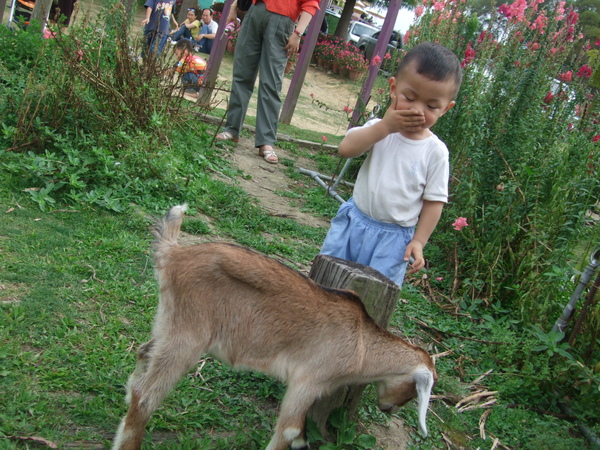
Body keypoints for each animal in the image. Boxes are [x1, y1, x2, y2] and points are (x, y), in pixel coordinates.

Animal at [112, 205, 438, 450]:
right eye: (414, 389)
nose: (388, 409)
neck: (362, 342)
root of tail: (173, 254)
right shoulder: (308, 381)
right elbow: (291, 432)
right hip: (188, 336)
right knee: (146, 395)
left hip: (169, 321)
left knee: (144, 354)